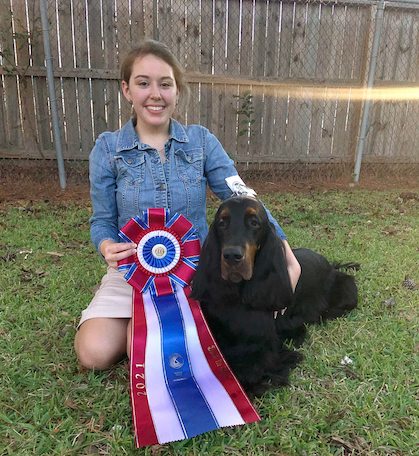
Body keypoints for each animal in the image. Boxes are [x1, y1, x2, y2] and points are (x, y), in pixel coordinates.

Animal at [191, 196, 358, 395]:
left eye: (254, 222)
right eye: (222, 222)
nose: (232, 256)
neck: (238, 296)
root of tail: (331, 265)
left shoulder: (265, 353)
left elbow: (248, 374)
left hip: (346, 292)